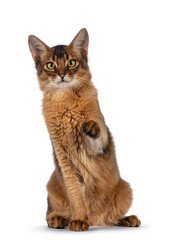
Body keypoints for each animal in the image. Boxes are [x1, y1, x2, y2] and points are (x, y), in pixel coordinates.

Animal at [28, 27, 141, 231]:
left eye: (71, 62)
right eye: (51, 65)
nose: (62, 75)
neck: (66, 102)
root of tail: (96, 219)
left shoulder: (100, 146)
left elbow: (98, 130)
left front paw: (89, 126)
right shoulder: (64, 159)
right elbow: (76, 194)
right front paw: (79, 219)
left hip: (125, 189)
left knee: (111, 218)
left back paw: (127, 219)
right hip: (52, 185)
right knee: (52, 211)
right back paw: (59, 219)